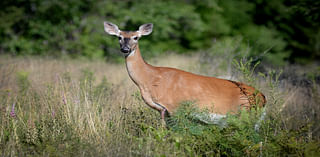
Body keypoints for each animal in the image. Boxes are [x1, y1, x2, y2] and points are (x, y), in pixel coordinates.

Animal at [104, 21, 266, 126]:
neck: (150, 79)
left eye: (136, 37)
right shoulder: (163, 110)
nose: (125, 49)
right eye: (119, 37)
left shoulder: (174, 107)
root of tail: (263, 98)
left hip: (245, 114)